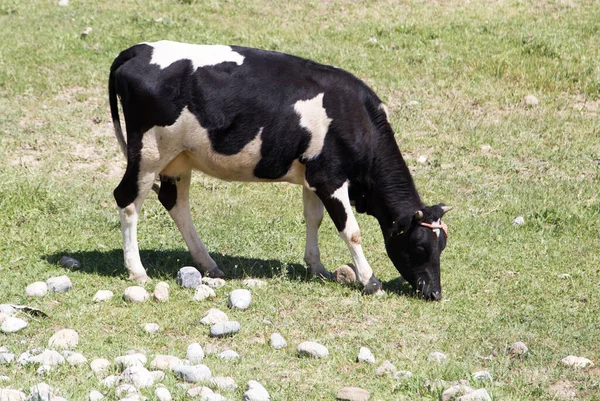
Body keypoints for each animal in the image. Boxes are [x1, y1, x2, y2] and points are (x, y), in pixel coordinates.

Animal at [110, 40, 452, 300]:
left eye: (442, 246)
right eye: (420, 246)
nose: (434, 293)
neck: (357, 119)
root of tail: (139, 49)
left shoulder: (314, 176)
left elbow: (313, 218)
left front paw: (317, 267)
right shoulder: (330, 178)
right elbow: (351, 231)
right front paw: (371, 281)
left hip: (178, 159)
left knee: (175, 203)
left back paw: (208, 264)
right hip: (149, 153)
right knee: (127, 200)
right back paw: (137, 271)